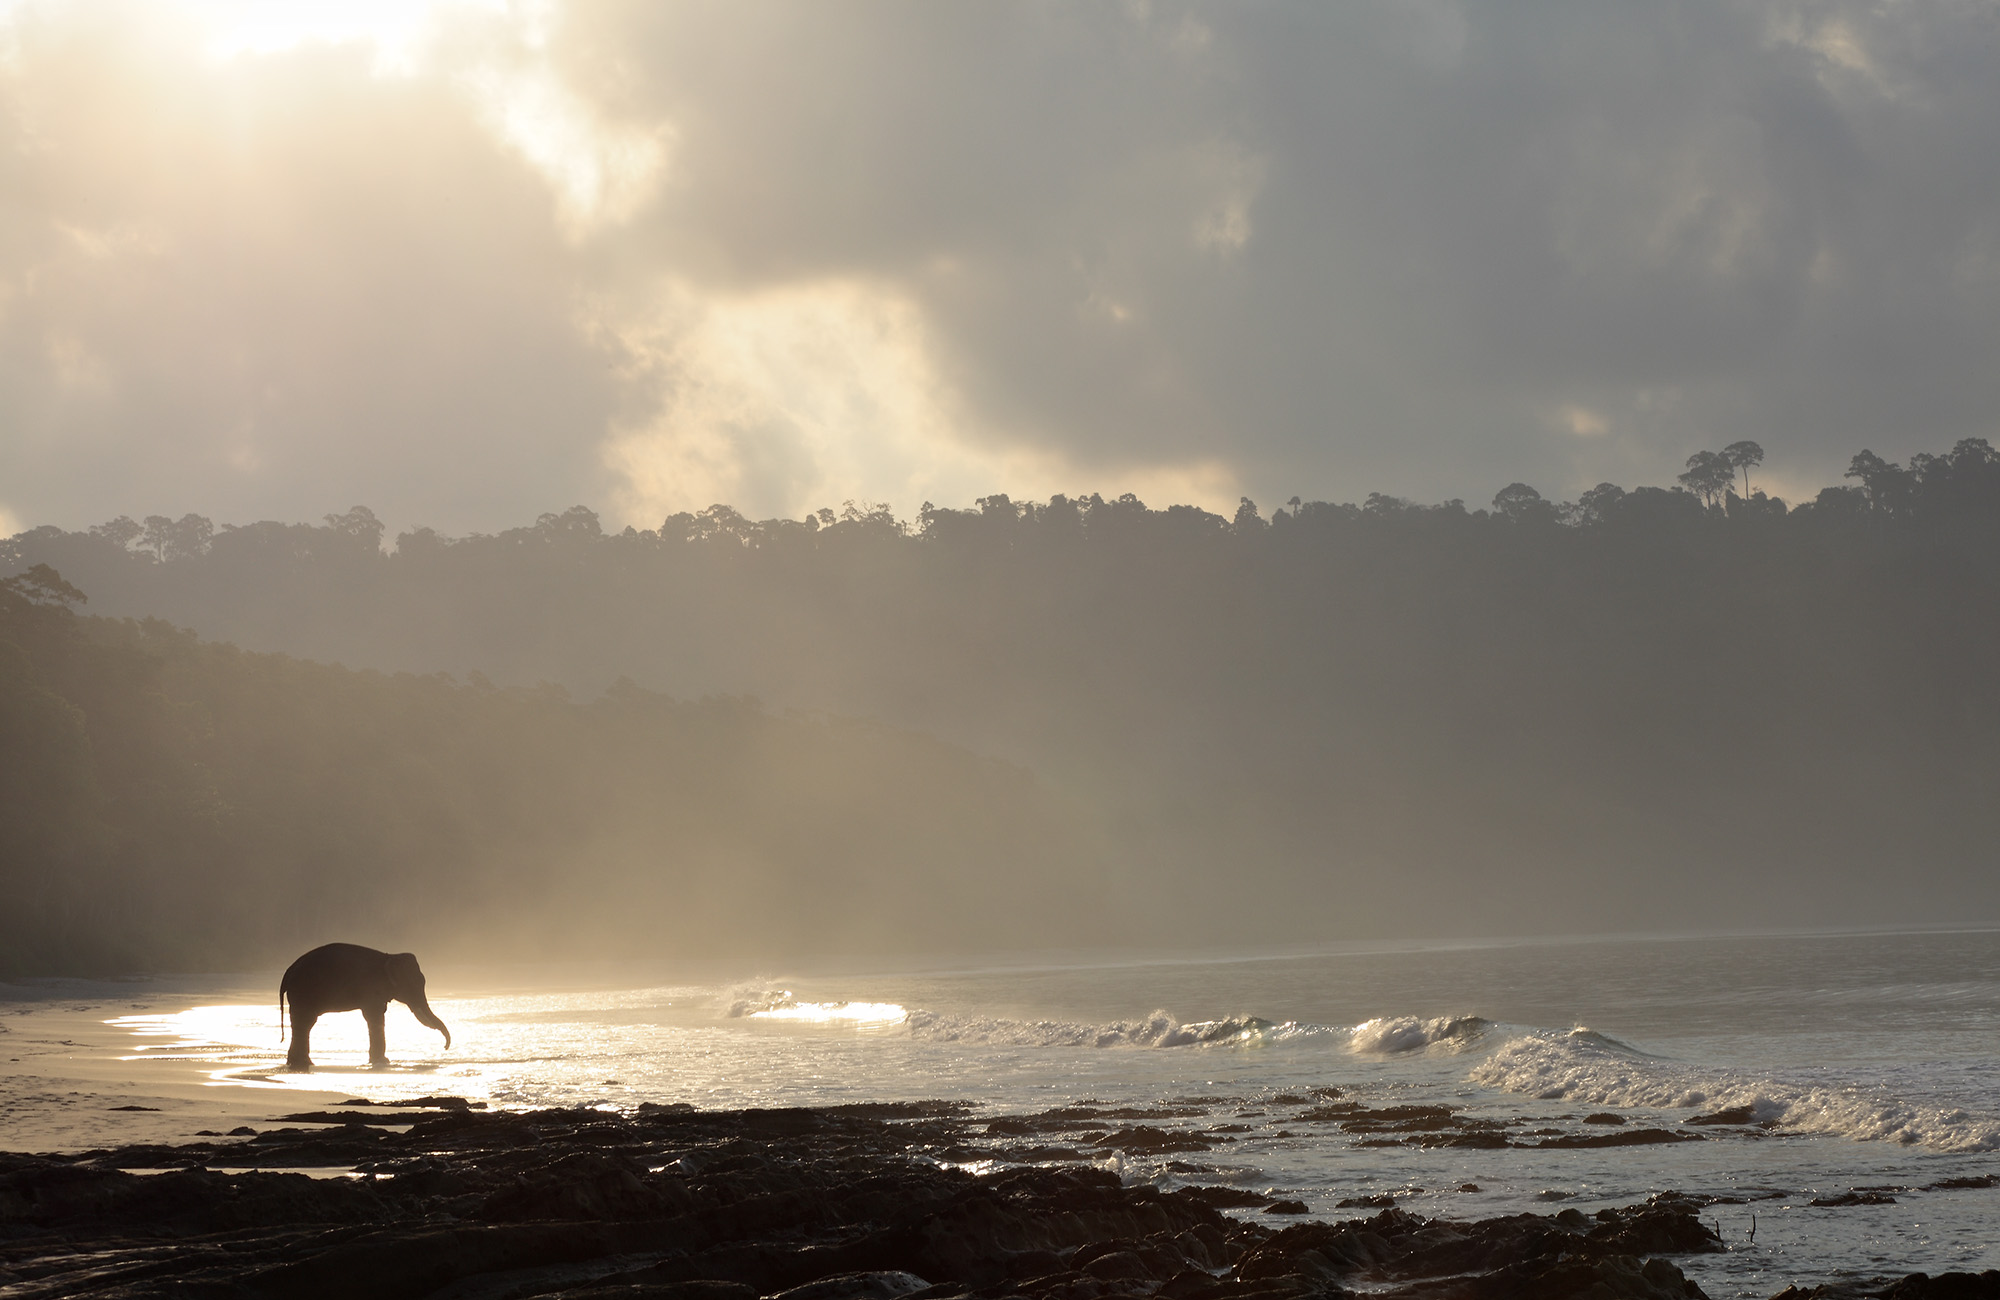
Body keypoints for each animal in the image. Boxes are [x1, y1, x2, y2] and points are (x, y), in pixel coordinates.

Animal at [280, 940, 452, 1064]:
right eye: (415, 984)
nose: (445, 1047)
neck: (389, 956)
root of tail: (288, 971)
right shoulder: (372, 987)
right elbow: (374, 1016)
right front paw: (382, 1061)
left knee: (303, 1023)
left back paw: (299, 1062)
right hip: (303, 991)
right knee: (306, 1021)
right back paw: (303, 1063)